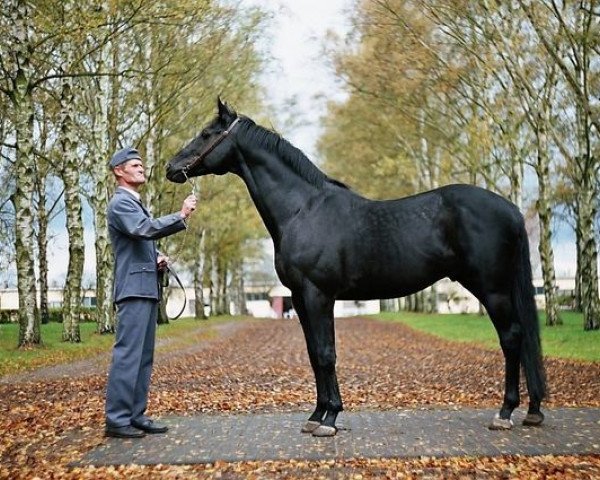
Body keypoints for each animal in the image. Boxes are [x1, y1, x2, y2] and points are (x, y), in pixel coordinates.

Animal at [166, 99, 548, 436]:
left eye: (206, 133)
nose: (171, 168)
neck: (303, 210)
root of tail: (510, 209)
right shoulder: (299, 298)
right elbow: (313, 354)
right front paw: (316, 415)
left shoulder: (318, 295)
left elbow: (326, 353)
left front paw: (330, 418)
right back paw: (533, 411)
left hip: (492, 288)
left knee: (512, 337)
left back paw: (505, 413)